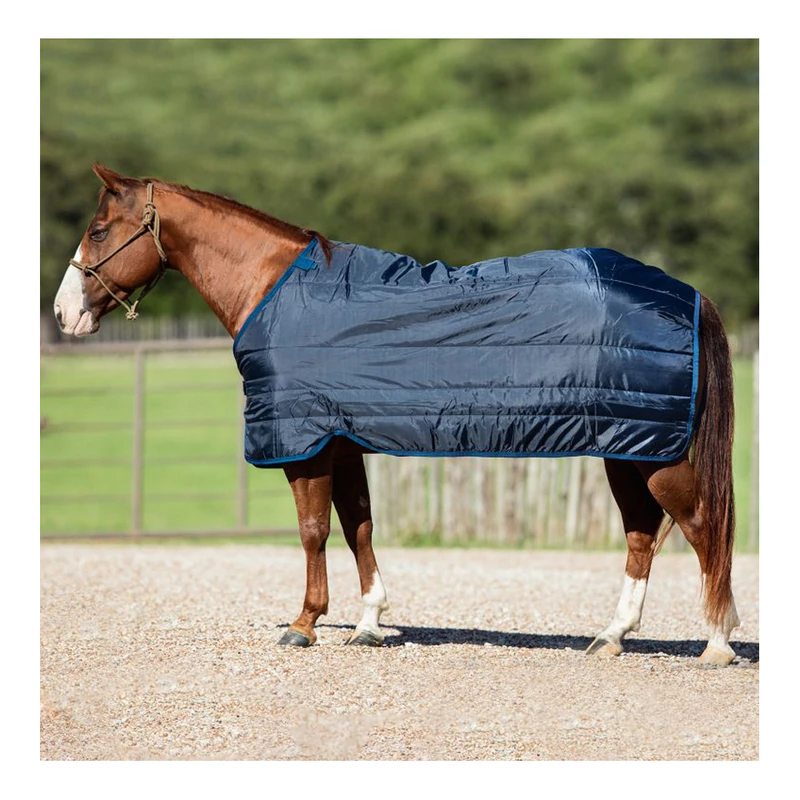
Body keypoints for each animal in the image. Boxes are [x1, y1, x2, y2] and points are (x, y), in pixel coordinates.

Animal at [53, 164, 740, 665]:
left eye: (98, 231)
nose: (64, 314)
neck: (277, 289)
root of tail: (689, 294)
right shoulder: (340, 439)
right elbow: (359, 526)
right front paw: (369, 622)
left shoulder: (305, 443)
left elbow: (313, 530)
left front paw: (304, 623)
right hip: (628, 445)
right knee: (643, 534)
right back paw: (612, 636)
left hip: (656, 452)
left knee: (701, 527)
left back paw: (717, 642)